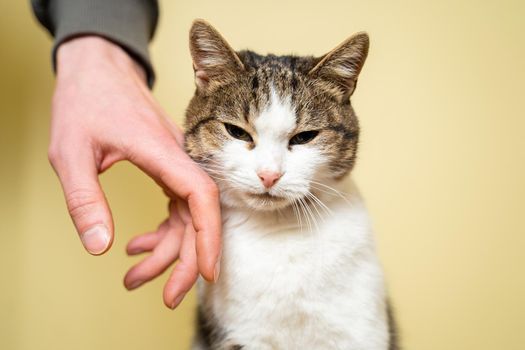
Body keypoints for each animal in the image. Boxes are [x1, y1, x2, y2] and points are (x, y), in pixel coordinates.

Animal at [184, 19, 398, 350]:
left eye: (304, 137)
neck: (279, 231)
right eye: (237, 132)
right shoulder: (243, 334)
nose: (269, 175)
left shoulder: (360, 330)